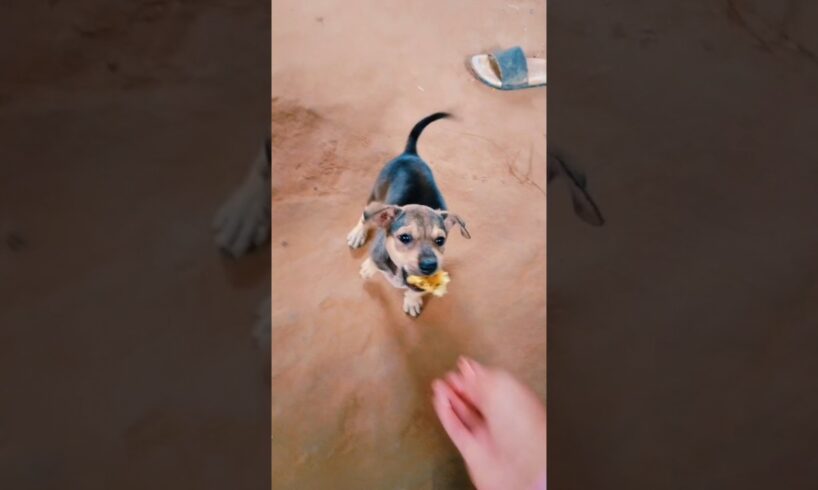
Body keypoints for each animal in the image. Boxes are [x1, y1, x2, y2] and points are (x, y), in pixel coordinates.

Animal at [346, 111, 472, 318]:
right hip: (376, 197)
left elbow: (415, 290)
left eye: (440, 240)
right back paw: (358, 234)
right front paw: (368, 268)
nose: (429, 265)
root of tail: (410, 154)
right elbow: (373, 261)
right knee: (365, 215)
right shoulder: (378, 252)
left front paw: (412, 301)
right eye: (404, 237)